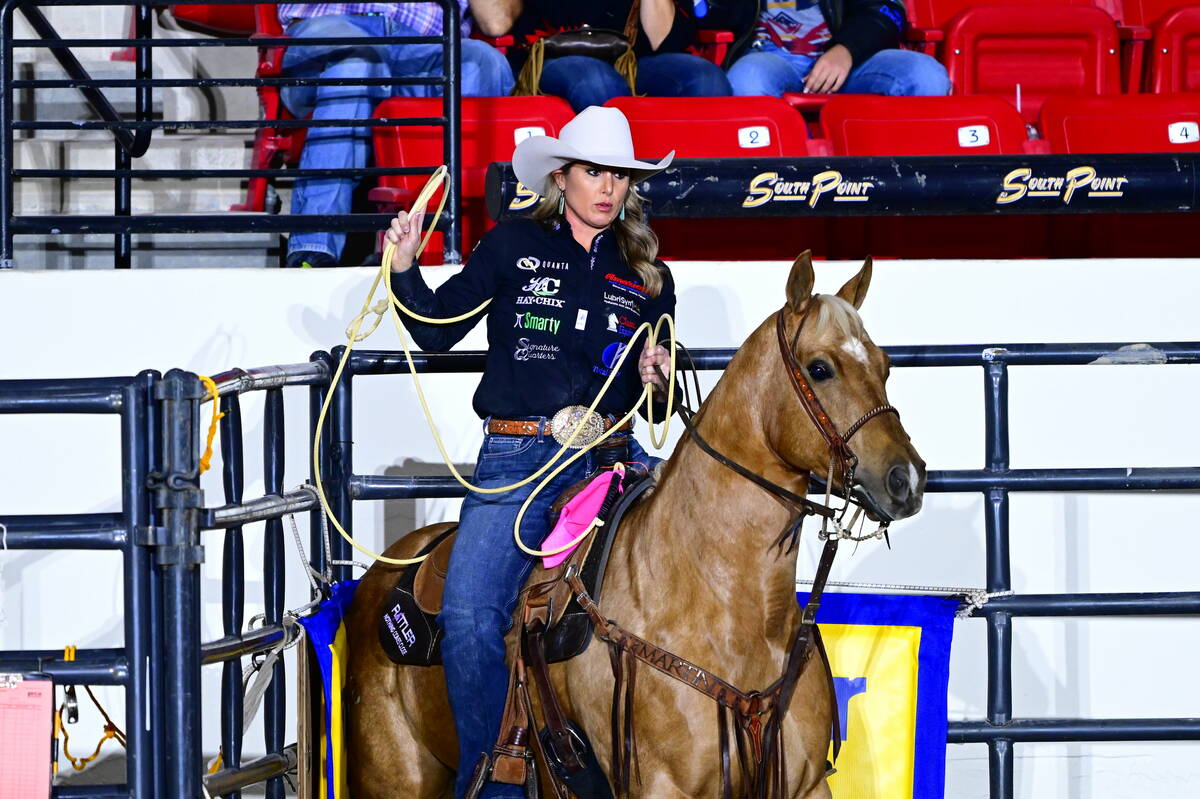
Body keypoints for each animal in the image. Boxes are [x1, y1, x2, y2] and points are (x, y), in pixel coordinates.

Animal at [348, 251, 926, 791]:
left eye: (885, 365)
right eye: (820, 367)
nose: (907, 479)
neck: (726, 608)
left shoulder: (804, 783)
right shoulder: (661, 785)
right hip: (391, 777)